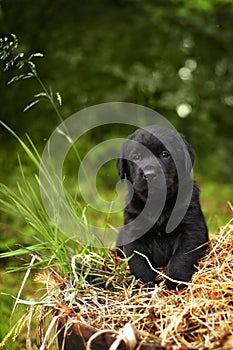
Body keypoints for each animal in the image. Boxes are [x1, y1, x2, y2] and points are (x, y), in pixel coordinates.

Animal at [117, 126, 208, 290]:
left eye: (165, 154)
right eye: (136, 157)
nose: (149, 173)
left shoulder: (190, 229)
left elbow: (180, 258)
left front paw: (174, 282)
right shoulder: (134, 233)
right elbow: (139, 263)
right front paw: (144, 286)